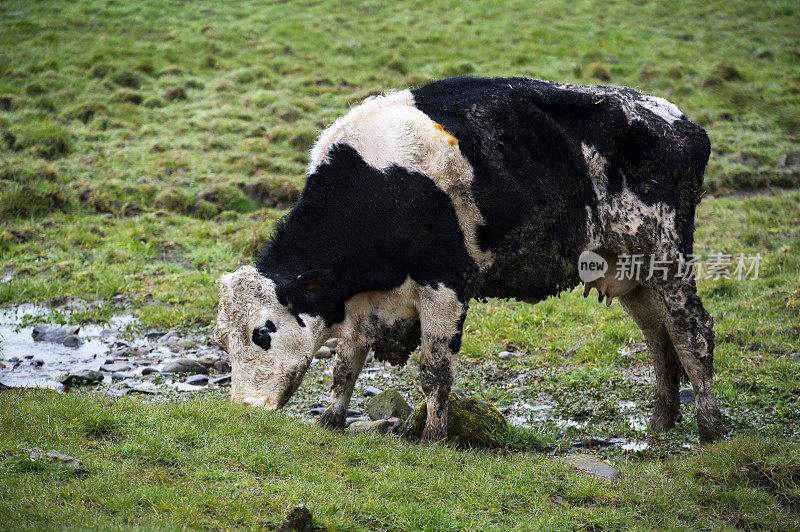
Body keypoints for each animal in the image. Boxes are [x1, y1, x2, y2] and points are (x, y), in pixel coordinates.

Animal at [216, 77, 728, 444]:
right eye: (223, 341)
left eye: (263, 332)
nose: (244, 409)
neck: (377, 188)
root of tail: (680, 124)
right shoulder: (364, 302)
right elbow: (346, 363)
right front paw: (330, 420)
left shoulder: (446, 284)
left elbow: (434, 369)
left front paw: (433, 437)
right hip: (629, 269)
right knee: (658, 335)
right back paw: (661, 421)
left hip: (667, 255)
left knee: (691, 332)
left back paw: (710, 429)